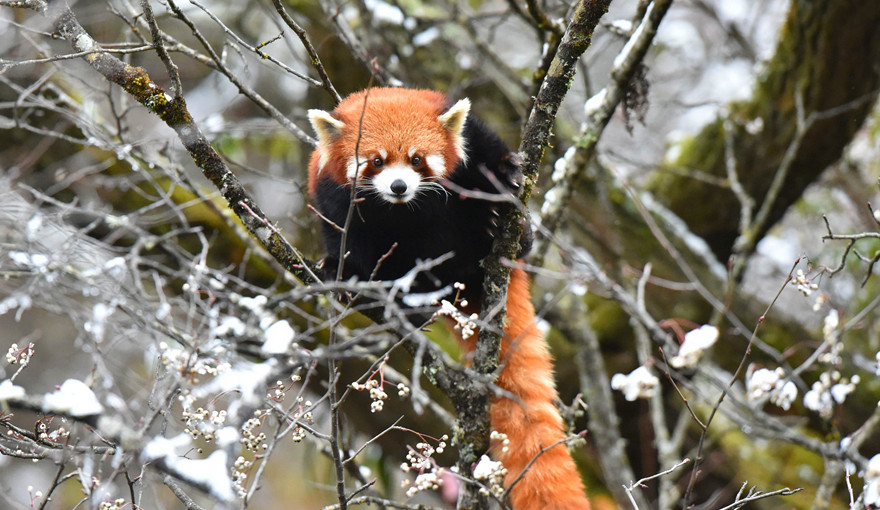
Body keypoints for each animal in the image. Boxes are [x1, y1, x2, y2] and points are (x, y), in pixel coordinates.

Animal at [308, 88, 592, 510]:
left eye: (416, 159)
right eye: (376, 161)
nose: (398, 187)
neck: (402, 211)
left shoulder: (471, 145)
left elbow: (489, 158)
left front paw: (508, 172)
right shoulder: (333, 197)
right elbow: (346, 237)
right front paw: (345, 272)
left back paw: (508, 235)